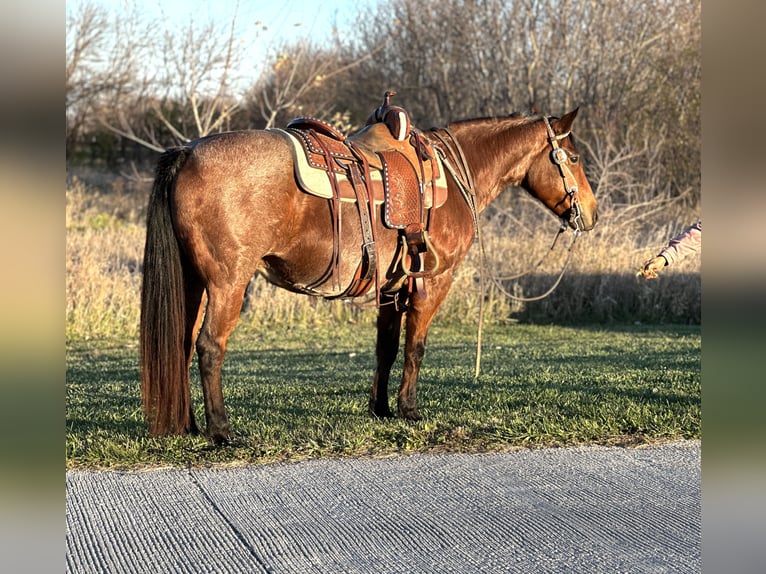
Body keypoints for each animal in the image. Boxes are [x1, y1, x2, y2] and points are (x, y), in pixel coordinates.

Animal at [142, 106, 600, 446]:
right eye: (574, 158)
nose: (592, 215)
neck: (453, 175)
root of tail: (188, 152)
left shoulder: (393, 288)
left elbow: (387, 349)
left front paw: (380, 408)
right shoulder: (432, 282)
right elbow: (415, 348)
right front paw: (409, 409)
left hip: (193, 282)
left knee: (182, 343)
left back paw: (189, 425)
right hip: (228, 283)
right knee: (209, 346)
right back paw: (221, 431)